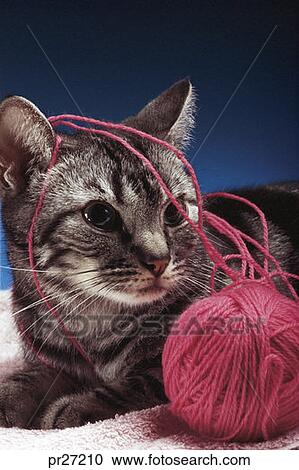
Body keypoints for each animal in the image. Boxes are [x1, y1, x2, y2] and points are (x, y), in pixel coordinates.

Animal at [0, 80, 298, 430]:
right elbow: (31, 377)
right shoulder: (50, 359)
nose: (159, 259)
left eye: (174, 212)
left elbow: (146, 381)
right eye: (100, 215)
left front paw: (76, 405)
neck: (94, 324)